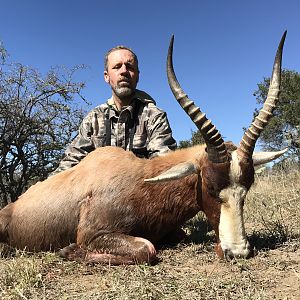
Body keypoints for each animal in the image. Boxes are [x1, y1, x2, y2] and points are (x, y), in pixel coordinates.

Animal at [0, 31, 288, 264]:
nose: (237, 252)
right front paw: (67, 250)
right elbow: (146, 249)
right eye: (209, 186)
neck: (141, 179)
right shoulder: (93, 234)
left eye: (246, 189)